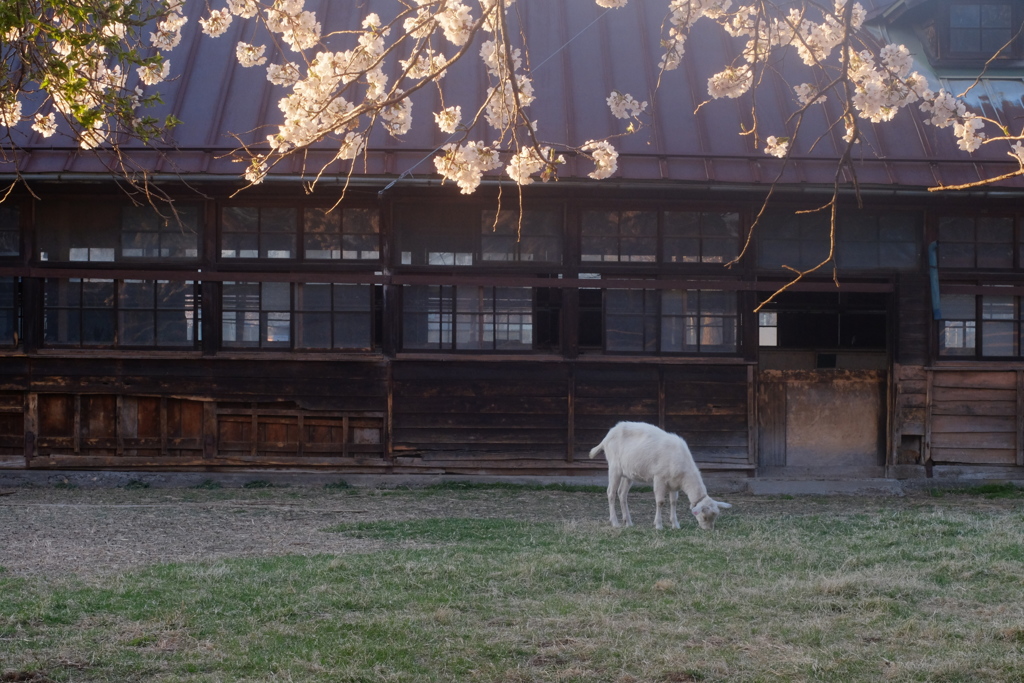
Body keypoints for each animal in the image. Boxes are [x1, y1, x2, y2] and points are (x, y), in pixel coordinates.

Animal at [589, 419, 733, 532]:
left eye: (715, 517)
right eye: (704, 517)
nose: (708, 529)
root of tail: (607, 437)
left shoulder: (674, 484)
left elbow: (673, 502)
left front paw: (675, 525)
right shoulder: (659, 477)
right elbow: (660, 502)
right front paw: (658, 525)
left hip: (627, 473)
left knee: (622, 493)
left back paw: (628, 522)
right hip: (614, 467)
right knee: (611, 493)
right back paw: (615, 522)